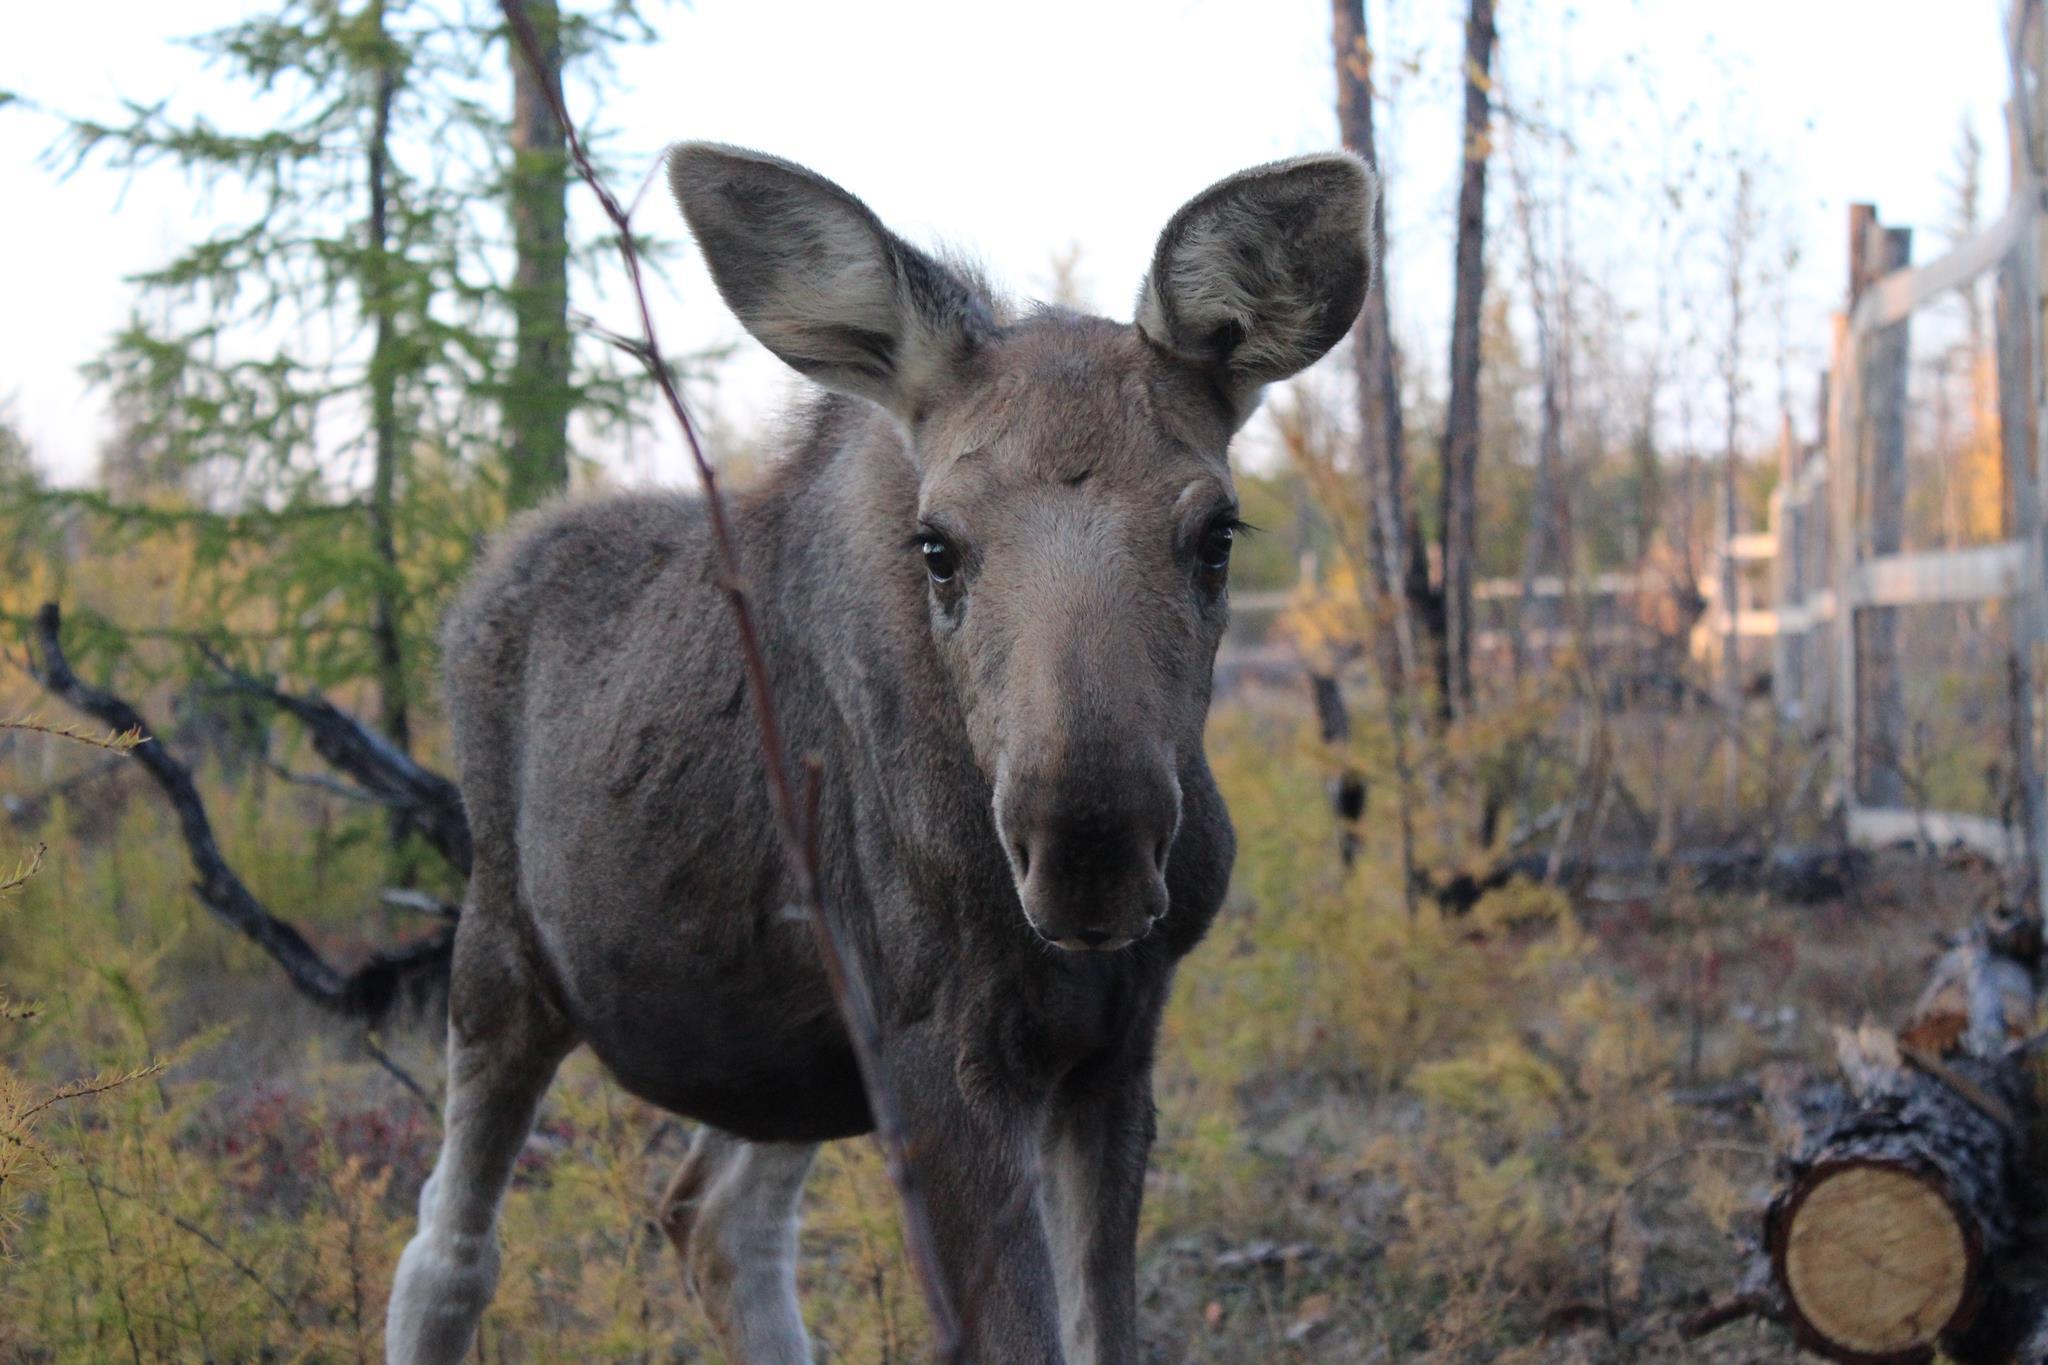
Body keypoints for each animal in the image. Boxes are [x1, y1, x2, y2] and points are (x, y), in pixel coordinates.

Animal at [385, 144, 1376, 1358]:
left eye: (1217, 534)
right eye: (936, 545)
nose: (1089, 851)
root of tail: (487, 574)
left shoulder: (1110, 1051)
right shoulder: (942, 1052)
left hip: (791, 1041)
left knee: (714, 1217)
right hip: (501, 957)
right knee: (448, 1251)